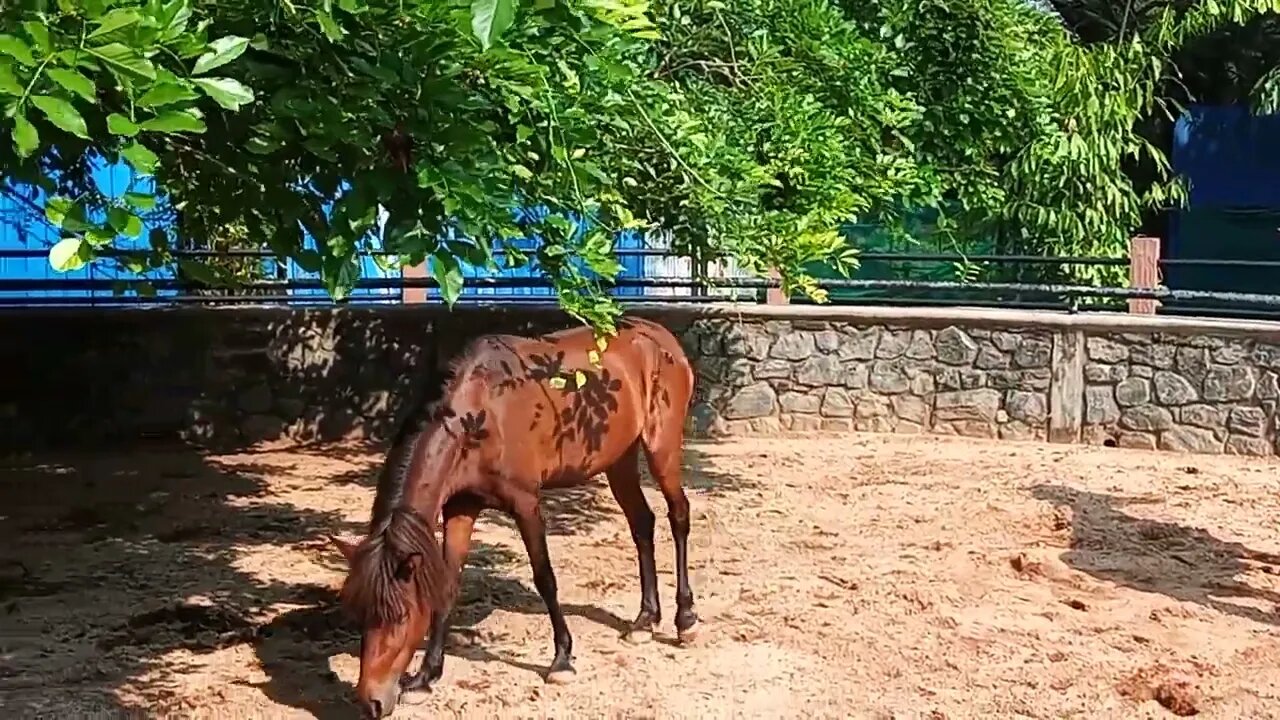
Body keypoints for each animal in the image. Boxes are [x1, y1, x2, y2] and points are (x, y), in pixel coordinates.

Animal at [325, 316, 696, 712]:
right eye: (360, 612)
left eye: (402, 615)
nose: (372, 702)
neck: (479, 413)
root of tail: (658, 335)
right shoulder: (461, 507)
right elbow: (448, 584)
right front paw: (426, 677)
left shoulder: (525, 503)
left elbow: (545, 578)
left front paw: (562, 660)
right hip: (619, 459)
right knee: (642, 523)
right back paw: (645, 620)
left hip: (662, 445)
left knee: (679, 515)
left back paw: (685, 619)